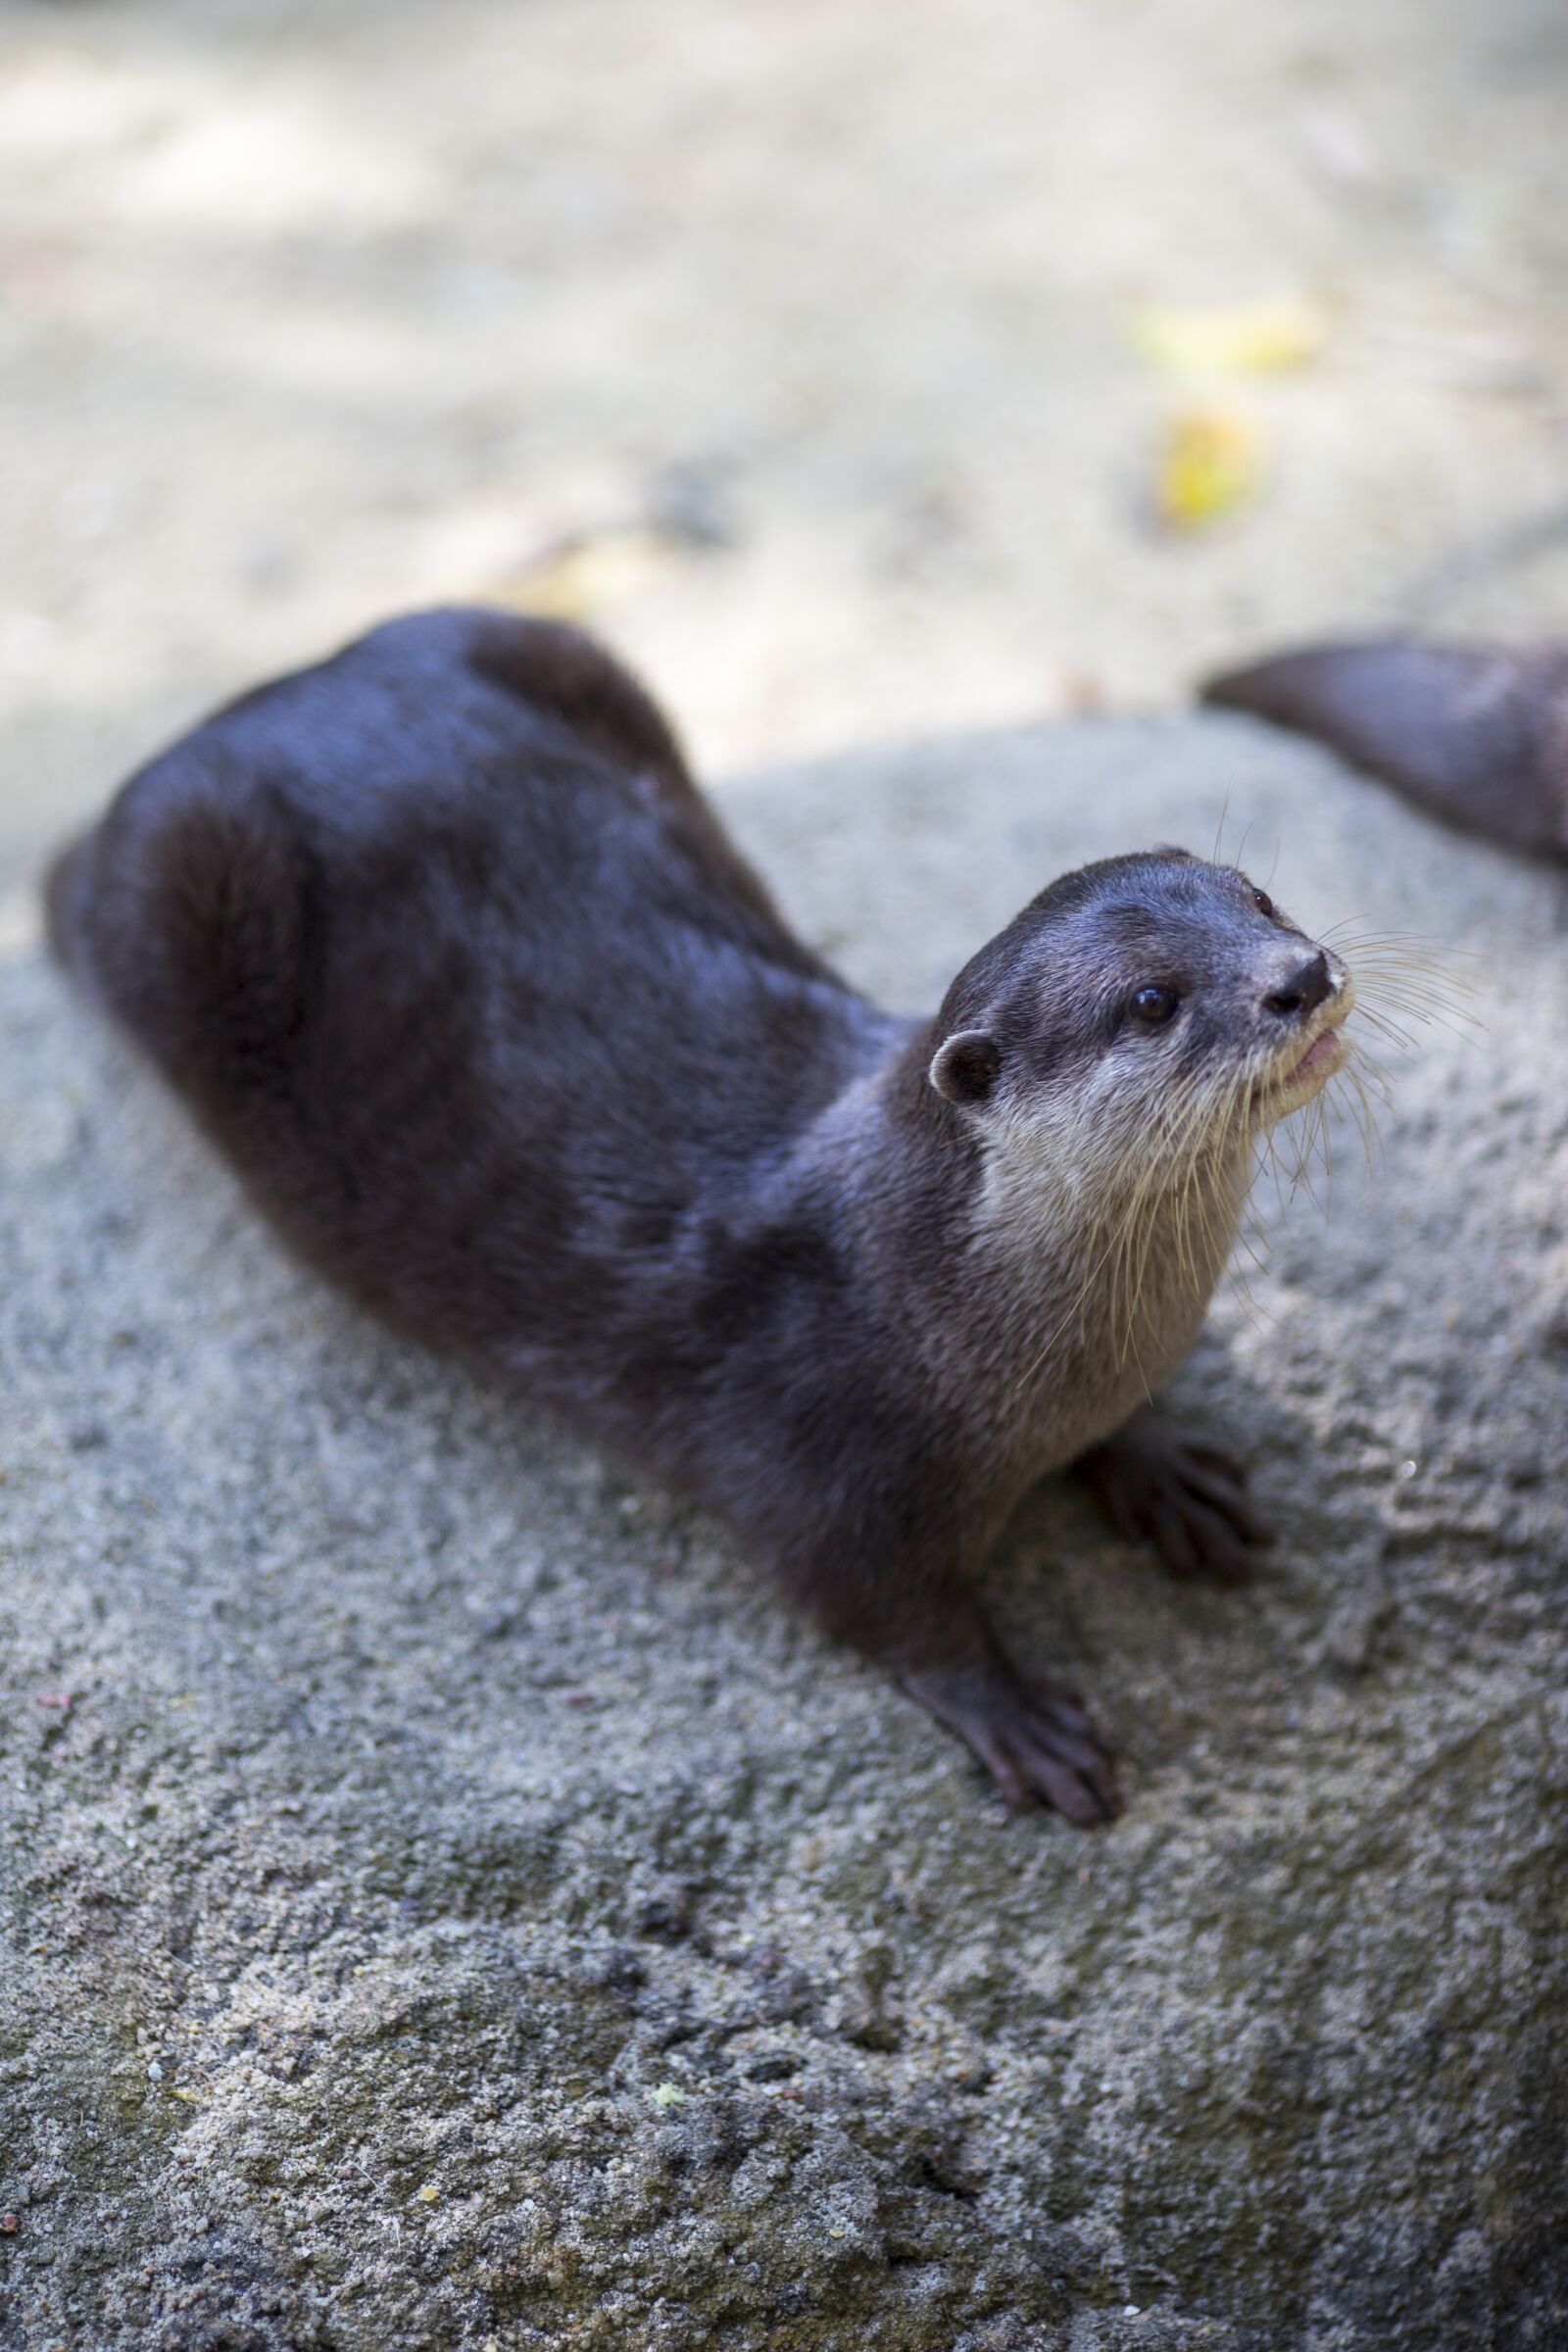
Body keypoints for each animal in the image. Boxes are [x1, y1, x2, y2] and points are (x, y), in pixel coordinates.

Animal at [42, 602, 1353, 1815]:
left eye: (1259, 896)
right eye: (1151, 1000)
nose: (1304, 972)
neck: (931, 1306)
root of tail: (268, 699)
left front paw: (1155, 1466)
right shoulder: (820, 1467)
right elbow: (881, 1609)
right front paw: (1013, 1713)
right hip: (182, 869)